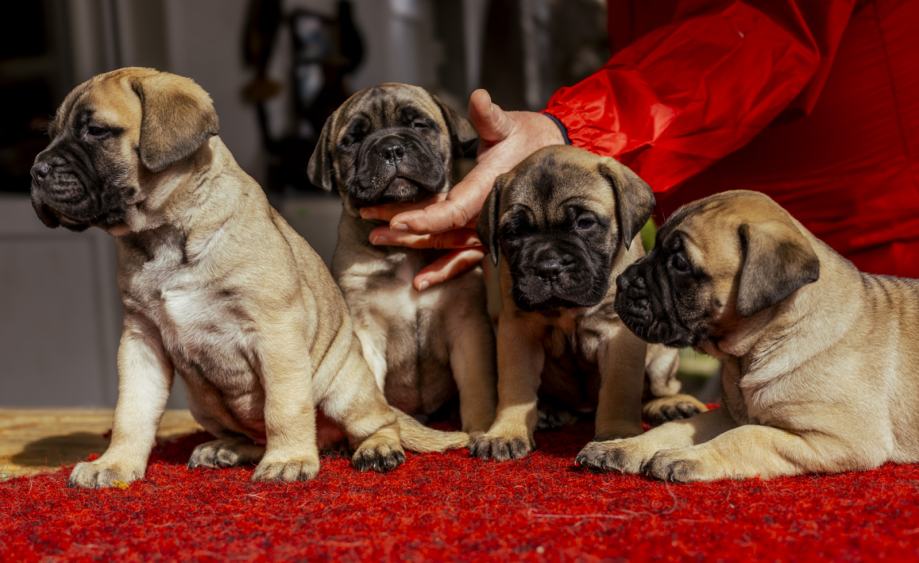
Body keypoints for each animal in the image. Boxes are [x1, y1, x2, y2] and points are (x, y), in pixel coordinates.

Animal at [30, 68, 467, 487]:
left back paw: (374, 448)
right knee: (253, 436)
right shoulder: (141, 341)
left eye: (95, 131)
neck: (165, 234)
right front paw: (115, 464)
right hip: (204, 404)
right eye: (51, 135)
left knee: (376, 420)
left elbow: (284, 406)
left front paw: (288, 460)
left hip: (346, 383)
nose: (36, 171)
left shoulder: (275, 333)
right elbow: (131, 412)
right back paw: (225, 449)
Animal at [308, 83, 497, 435]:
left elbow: (478, 387)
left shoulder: (467, 327)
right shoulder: (366, 329)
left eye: (419, 125)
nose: (391, 148)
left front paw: (481, 429)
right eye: (352, 140)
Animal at [471, 145, 706, 461]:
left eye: (584, 223)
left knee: (659, 387)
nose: (548, 267)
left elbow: (619, 388)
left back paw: (671, 404)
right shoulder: (517, 332)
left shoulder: (618, 335)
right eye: (513, 233)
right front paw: (505, 433)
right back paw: (549, 410)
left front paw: (616, 434)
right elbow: (515, 388)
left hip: (662, 359)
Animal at [578, 189, 919, 481]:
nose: (621, 281)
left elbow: (747, 437)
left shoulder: (837, 437)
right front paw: (622, 446)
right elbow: (673, 428)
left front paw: (688, 457)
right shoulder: (728, 416)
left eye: (680, 264)